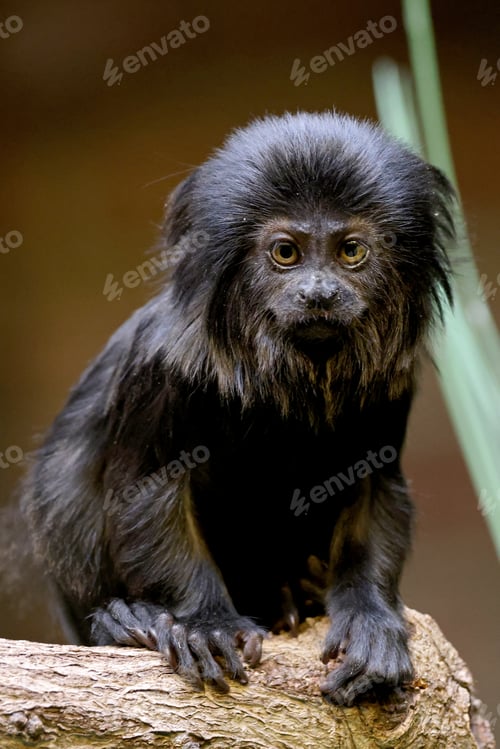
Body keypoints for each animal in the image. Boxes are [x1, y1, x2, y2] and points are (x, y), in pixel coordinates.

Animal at [21, 109, 455, 705]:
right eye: (286, 253)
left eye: (350, 251)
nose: (318, 293)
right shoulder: (162, 364)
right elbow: (149, 492)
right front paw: (205, 624)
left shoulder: (392, 381)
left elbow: (373, 488)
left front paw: (371, 623)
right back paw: (122, 620)